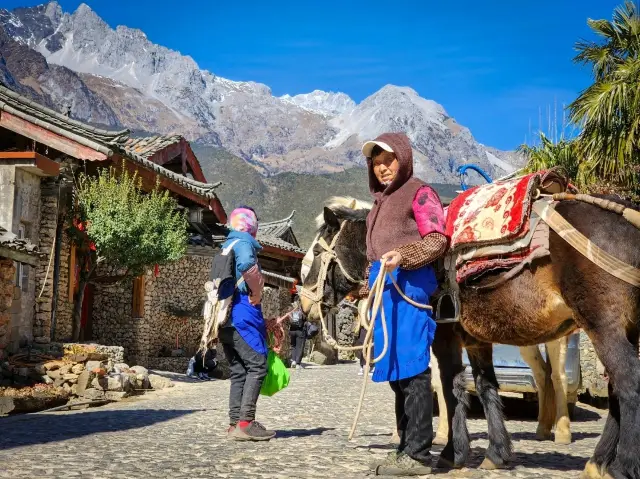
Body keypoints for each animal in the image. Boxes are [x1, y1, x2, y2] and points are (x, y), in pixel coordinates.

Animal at [300, 197, 640, 478]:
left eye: (316, 252)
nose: (304, 305)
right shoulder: (477, 342)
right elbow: (486, 388)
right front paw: (496, 454)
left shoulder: (445, 339)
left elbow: (451, 389)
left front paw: (452, 454)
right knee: (612, 390)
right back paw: (596, 463)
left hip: (603, 327)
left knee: (626, 383)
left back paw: (619, 466)